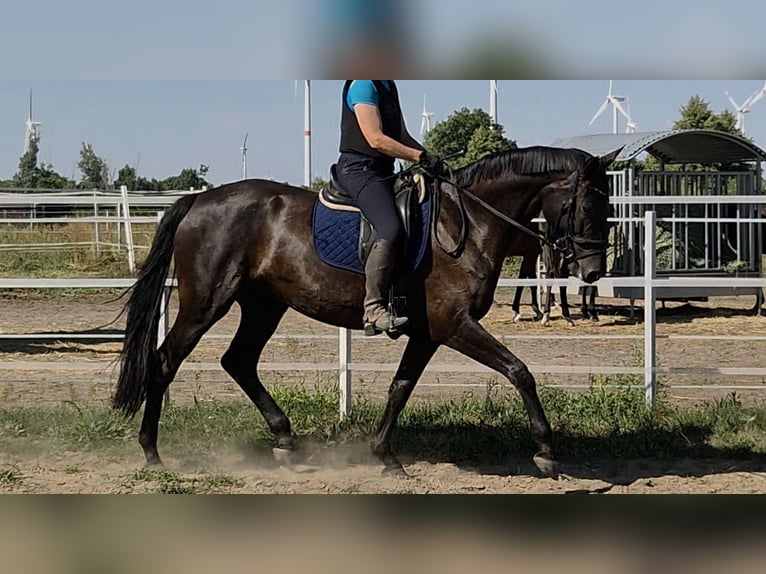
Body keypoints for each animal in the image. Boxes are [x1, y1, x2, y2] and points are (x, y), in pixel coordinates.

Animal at [113, 145, 619, 479]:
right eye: (587, 204)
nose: (593, 271)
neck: (466, 223)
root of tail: (199, 199)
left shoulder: (428, 333)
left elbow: (400, 389)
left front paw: (384, 455)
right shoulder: (454, 325)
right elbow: (520, 371)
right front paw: (546, 451)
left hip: (264, 305)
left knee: (238, 361)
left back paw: (284, 439)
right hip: (206, 303)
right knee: (164, 362)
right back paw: (152, 452)